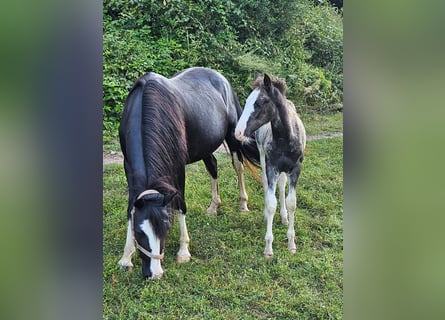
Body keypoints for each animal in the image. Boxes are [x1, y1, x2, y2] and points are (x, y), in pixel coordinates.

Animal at [117, 68, 256, 280]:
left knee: (238, 166)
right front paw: (126, 257)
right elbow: (130, 207)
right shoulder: (128, 166)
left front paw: (183, 251)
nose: (154, 274)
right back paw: (214, 206)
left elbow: (181, 204)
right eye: (139, 233)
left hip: (233, 137)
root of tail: (220, 77)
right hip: (206, 145)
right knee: (213, 166)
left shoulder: (178, 166)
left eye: (166, 229)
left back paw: (243, 204)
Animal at [232, 73, 306, 258]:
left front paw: (291, 244)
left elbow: (292, 202)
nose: (238, 132)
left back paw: (284, 217)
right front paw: (268, 247)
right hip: (262, 155)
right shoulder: (272, 167)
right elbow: (272, 202)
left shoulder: (295, 169)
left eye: (259, 103)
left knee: (281, 184)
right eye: (246, 101)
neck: (285, 138)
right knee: (266, 183)